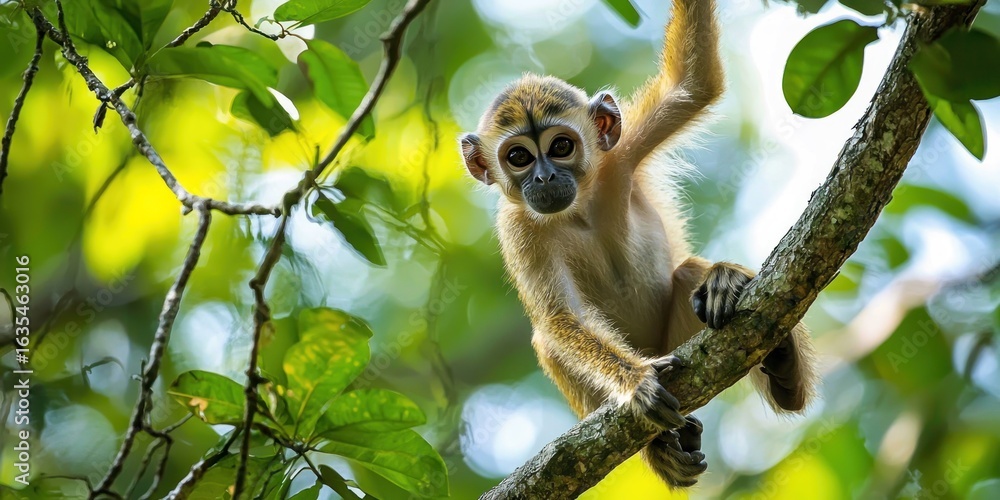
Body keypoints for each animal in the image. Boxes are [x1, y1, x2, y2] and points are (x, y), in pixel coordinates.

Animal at [458, 0, 817, 490]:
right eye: (518, 157)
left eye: (562, 146)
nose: (544, 178)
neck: (579, 209)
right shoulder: (517, 228)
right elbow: (559, 318)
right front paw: (636, 383)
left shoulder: (620, 154)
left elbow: (693, 84)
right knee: (547, 340)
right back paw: (662, 448)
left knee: (690, 275)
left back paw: (780, 361)